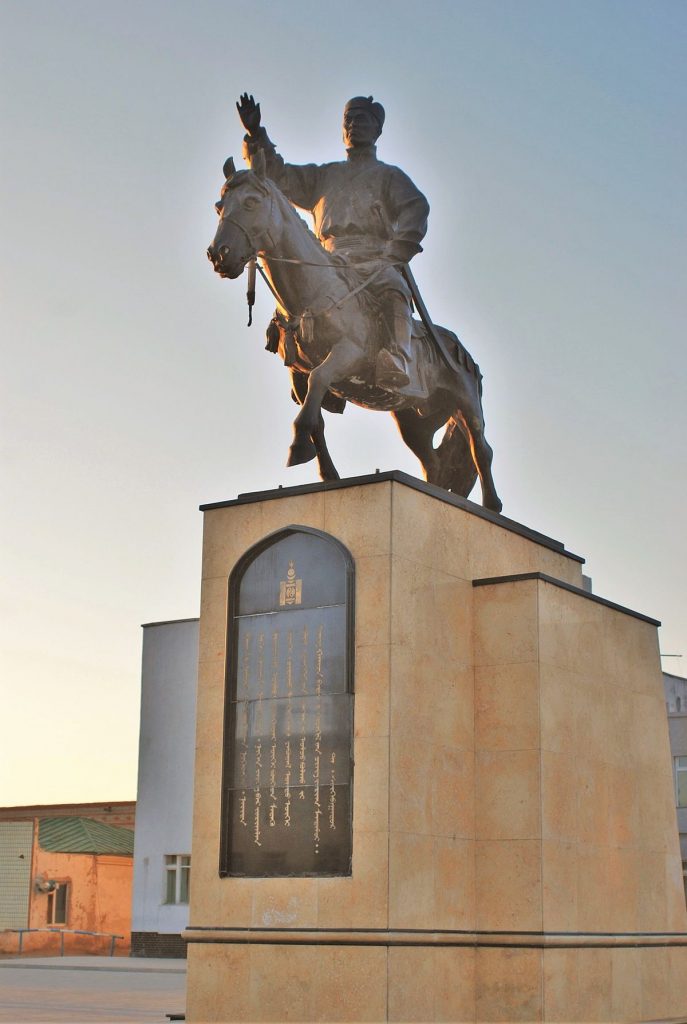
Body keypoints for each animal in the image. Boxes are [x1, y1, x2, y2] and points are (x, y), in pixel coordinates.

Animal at [206, 150, 501, 512]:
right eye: (219, 206)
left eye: (250, 202)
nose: (219, 255)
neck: (313, 292)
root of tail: (462, 350)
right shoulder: (298, 374)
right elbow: (314, 413)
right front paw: (325, 471)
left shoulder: (349, 355)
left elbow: (320, 381)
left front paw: (297, 447)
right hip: (414, 421)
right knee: (434, 464)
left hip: (466, 403)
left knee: (480, 449)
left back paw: (492, 505)